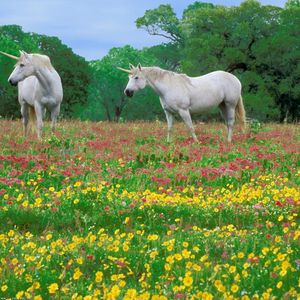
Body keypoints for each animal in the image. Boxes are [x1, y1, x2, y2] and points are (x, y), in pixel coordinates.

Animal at [118, 63, 246, 143]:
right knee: (227, 123)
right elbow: (170, 128)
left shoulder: (183, 111)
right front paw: (168, 142)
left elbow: (190, 127)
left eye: (136, 77)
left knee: (231, 122)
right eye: (129, 77)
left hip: (230, 105)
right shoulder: (168, 112)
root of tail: (235, 79)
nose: (127, 92)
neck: (168, 87)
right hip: (222, 106)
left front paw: (197, 142)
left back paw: (228, 141)